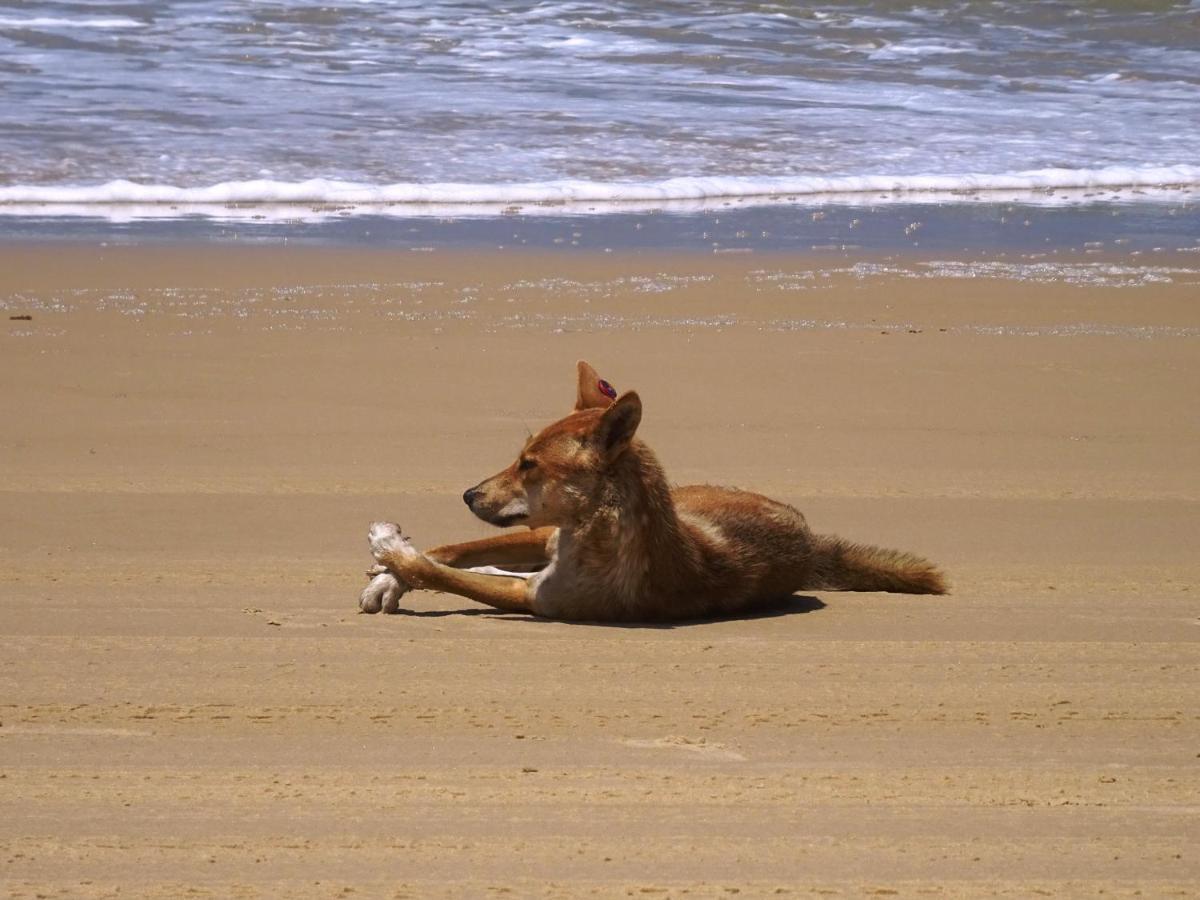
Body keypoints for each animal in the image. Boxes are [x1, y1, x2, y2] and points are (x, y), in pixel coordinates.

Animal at [360, 362, 940, 624]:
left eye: (528, 465)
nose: (467, 494)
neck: (592, 535)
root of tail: (810, 537)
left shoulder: (538, 600)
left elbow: (444, 573)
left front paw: (393, 556)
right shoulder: (543, 543)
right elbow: (446, 554)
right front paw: (390, 568)